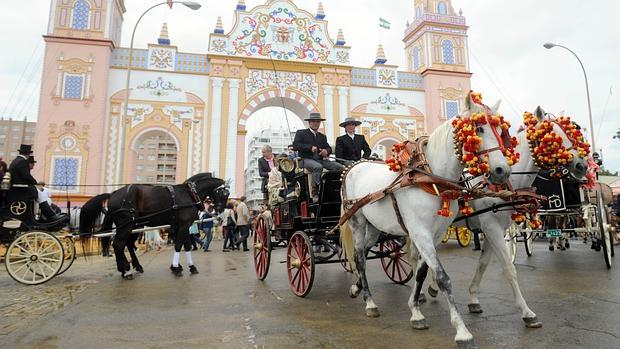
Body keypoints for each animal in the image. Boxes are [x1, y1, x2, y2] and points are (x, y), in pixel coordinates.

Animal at [80, 173, 229, 278]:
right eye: (224, 193)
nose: (220, 211)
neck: (190, 194)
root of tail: (112, 194)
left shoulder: (183, 225)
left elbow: (186, 245)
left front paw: (190, 267)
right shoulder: (183, 225)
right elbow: (178, 245)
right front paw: (176, 267)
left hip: (133, 226)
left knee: (126, 244)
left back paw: (131, 267)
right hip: (127, 225)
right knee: (118, 244)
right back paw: (126, 270)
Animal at [342, 93, 512, 348]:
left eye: (501, 130)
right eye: (478, 129)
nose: (502, 170)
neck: (428, 176)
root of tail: (354, 166)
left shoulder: (435, 234)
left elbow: (422, 273)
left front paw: (415, 311)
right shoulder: (420, 233)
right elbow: (442, 278)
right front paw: (462, 331)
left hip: (375, 228)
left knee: (359, 254)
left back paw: (356, 288)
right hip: (358, 222)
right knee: (361, 258)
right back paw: (370, 302)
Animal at [424, 105, 588, 326]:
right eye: (553, 136)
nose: (582, 166)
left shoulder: (495, 229)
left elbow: (483, 264)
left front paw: (473, 298)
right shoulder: (491, 227)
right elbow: (509, 268)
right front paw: (527, 312)